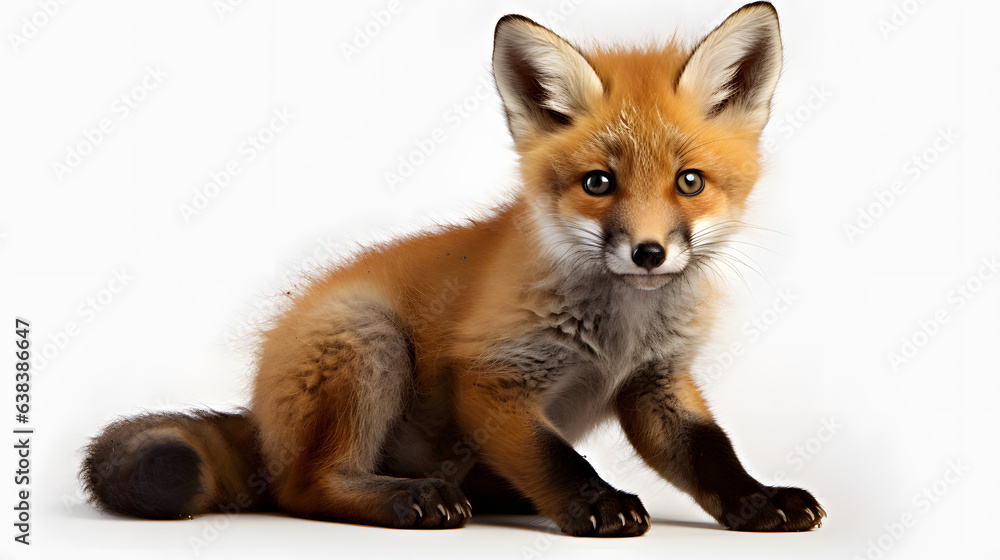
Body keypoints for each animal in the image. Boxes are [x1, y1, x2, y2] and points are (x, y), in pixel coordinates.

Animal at [81, 2, 825, 537]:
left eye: (689, 182)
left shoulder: (656, 383)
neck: (621, 330)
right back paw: (411, 498)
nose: (649, 253)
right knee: (304, 487)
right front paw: (595, 503)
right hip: (369, 340)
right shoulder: (494, 379)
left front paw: (758, 501)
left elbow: (710, 454)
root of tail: (260, 417)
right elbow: (559, 456)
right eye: (598, 183)